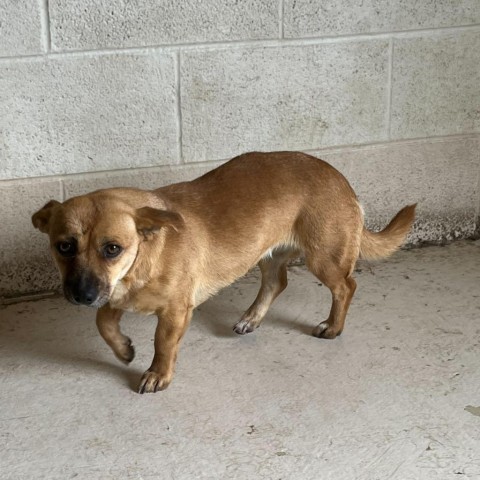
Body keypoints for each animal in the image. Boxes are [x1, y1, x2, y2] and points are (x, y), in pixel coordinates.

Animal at [31, 154, 414, 394]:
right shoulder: (113, 296)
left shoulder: (174, 312)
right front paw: (124, 350)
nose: (81, 296)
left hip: (324, 259)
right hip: (267, 256)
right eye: (64, 246)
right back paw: (251, 319)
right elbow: (104, 323)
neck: (146, 253)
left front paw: (157, 374)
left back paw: (333, 326)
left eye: (112, 248)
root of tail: (342, 180)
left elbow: (162, 344)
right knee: (277, 282)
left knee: (346, 287)